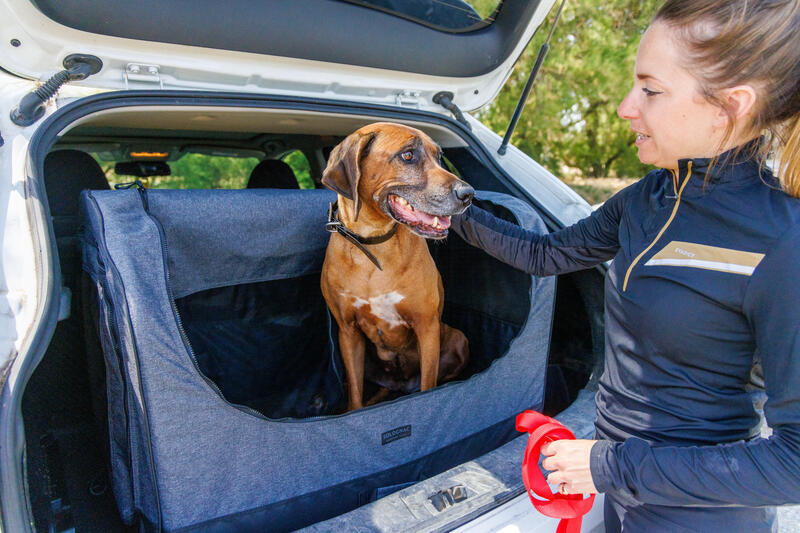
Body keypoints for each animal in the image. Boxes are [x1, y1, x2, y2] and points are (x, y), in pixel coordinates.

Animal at [320, 122, 476, 410]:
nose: (468, 194)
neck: (374, 243)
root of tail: (400, 385)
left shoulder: (427, 326)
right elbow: (356, 394)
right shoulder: (348, 331)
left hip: (458, 338)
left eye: (439, 157)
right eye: (408, 155)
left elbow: (428, 385)